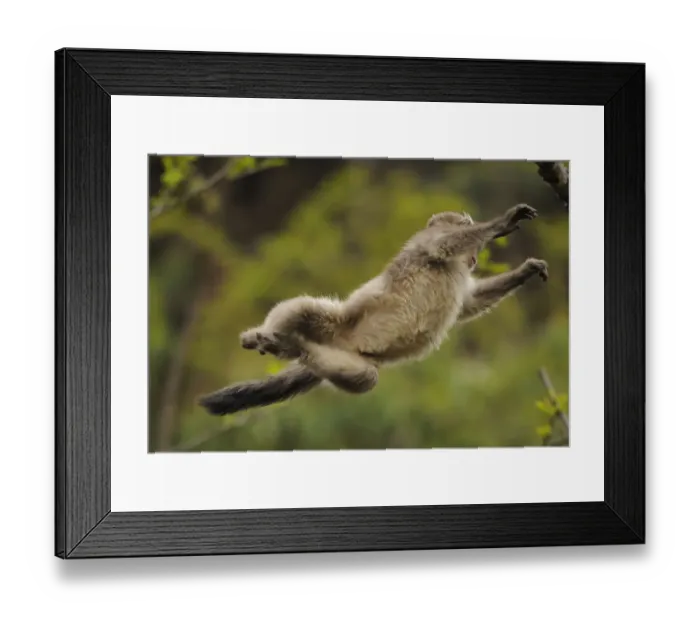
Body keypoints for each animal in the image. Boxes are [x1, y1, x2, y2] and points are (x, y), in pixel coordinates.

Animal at [198, 203, 549, 416]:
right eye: (470, 233)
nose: (475, 257)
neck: (454, 268)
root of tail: (337, 343)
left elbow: (470, 303)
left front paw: (526, 270)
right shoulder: (429, 241)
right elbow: (441, 245)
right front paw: (502, 224)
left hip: (346, 359)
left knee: (363, 377)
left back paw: (296, 348)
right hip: (338, 323)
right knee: (302, 311)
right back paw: (264, 337)